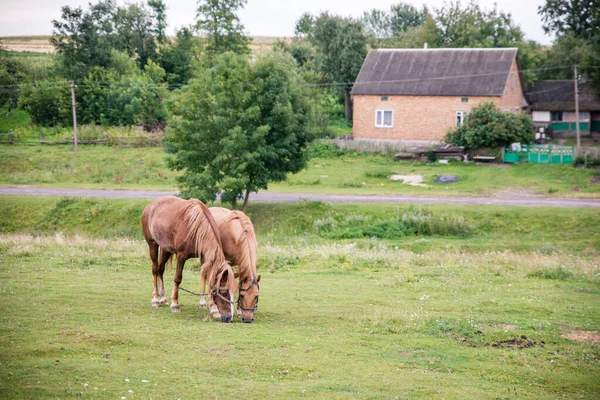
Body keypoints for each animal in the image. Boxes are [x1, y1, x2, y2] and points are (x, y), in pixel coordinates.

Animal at [141, 195, 237, 324]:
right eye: (224, 292)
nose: (229, 318)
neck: (197, 227)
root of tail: (150, 206)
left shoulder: (205, 257)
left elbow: (209, 280)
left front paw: (213, 309)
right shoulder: (181, 256)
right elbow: (177, 279)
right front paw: (175, 305)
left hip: (166, 249)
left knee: (160, 270)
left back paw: (163, 298)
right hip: (152, 244)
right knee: (155, 270)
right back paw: (156, 299)